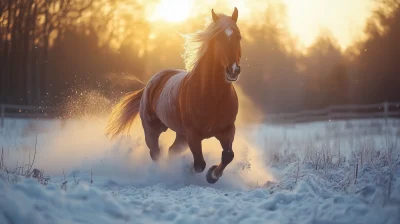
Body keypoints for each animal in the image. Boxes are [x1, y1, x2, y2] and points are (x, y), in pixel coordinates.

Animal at [106, 7, 242, 184]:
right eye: (218, 38)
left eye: (239, 36)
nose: (233, 70)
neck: (212, 96)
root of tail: (150, 84)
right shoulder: (193, 134)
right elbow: (199, 164)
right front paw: (191, 170)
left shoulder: (227, 130)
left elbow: (227, 156)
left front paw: (212, 175)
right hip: (152, 130)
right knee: (156, 153)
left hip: (181, 136)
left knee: (171, 151)